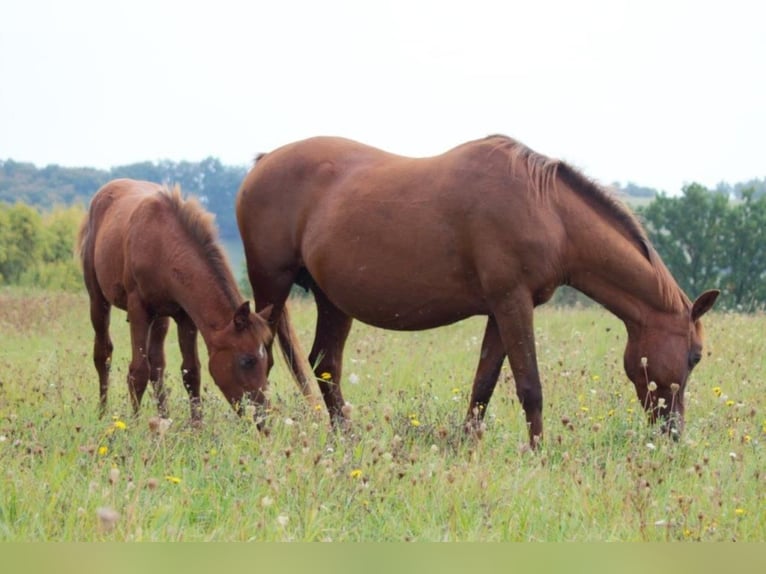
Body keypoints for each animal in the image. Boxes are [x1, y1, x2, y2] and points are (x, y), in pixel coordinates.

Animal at [78, 178, 287, 425]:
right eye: (247, 360)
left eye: (266, 361)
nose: (263, 417)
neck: (163, 244)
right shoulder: (138, 310)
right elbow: (138, 371)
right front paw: (133, 425)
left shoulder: (185, 316)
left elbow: (191, 372)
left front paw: (197, 426)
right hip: (98, 300)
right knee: (104, 354)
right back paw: (103, 413)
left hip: (160, 319)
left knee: (157, 364)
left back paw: (163, 418)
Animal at [235, 135, 719, 446]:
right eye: (694, 356)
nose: (673, 435)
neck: (547, 210)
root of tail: (263, 161)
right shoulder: (513, 303)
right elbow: (529, 386)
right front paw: (540, 455)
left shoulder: (500, 310)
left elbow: (484, 384)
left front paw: (470, 446)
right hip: (272, 285)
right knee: (265, 358)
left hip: (332, 301)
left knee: (325, 366)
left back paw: (346, 440)